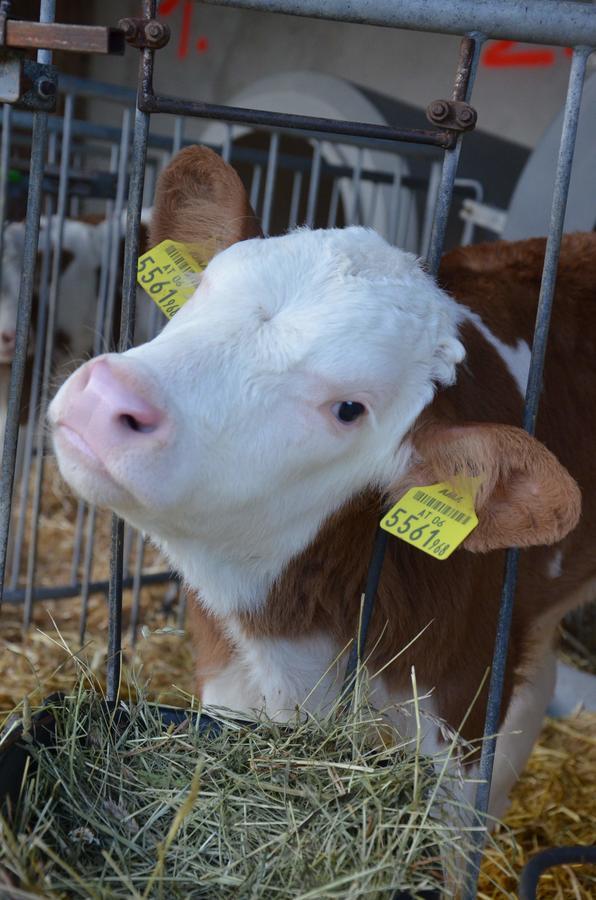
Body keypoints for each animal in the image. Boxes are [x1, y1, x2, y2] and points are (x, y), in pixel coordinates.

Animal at [47, 149, 592, 824]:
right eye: (204, 289)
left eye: (349, 409)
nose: (108, 395)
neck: (297, 641)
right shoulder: (228, 678)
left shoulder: (463, 709)